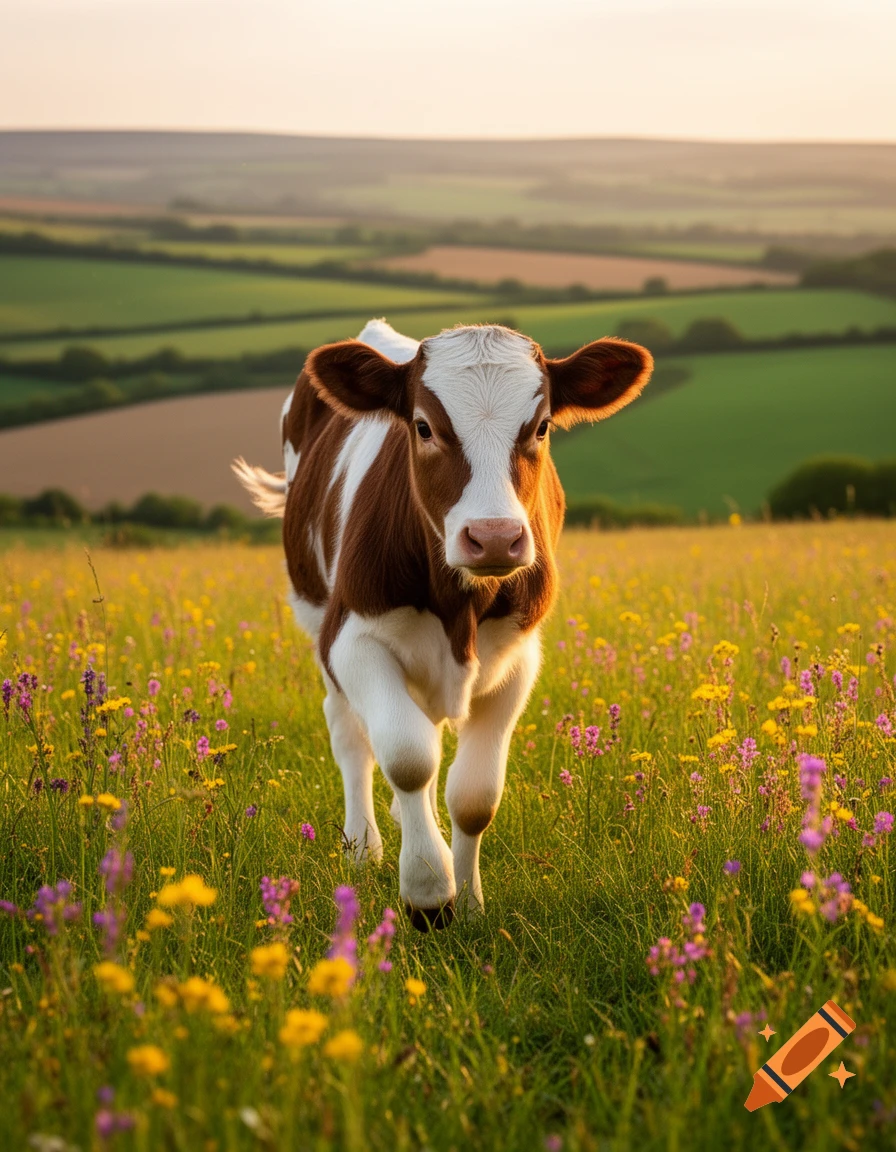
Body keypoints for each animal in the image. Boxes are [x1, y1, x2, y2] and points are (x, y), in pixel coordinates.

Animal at [234, 319, 652, 929]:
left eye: (542, 426)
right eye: (424, 427)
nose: (495, 537)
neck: (460, 608)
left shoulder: (519, 657)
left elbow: (474, 794)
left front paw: (469, 900)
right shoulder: (351, 638)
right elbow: (407, 758)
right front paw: (428, 892)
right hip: (317, 619)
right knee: (351, 733)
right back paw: (362, 847)